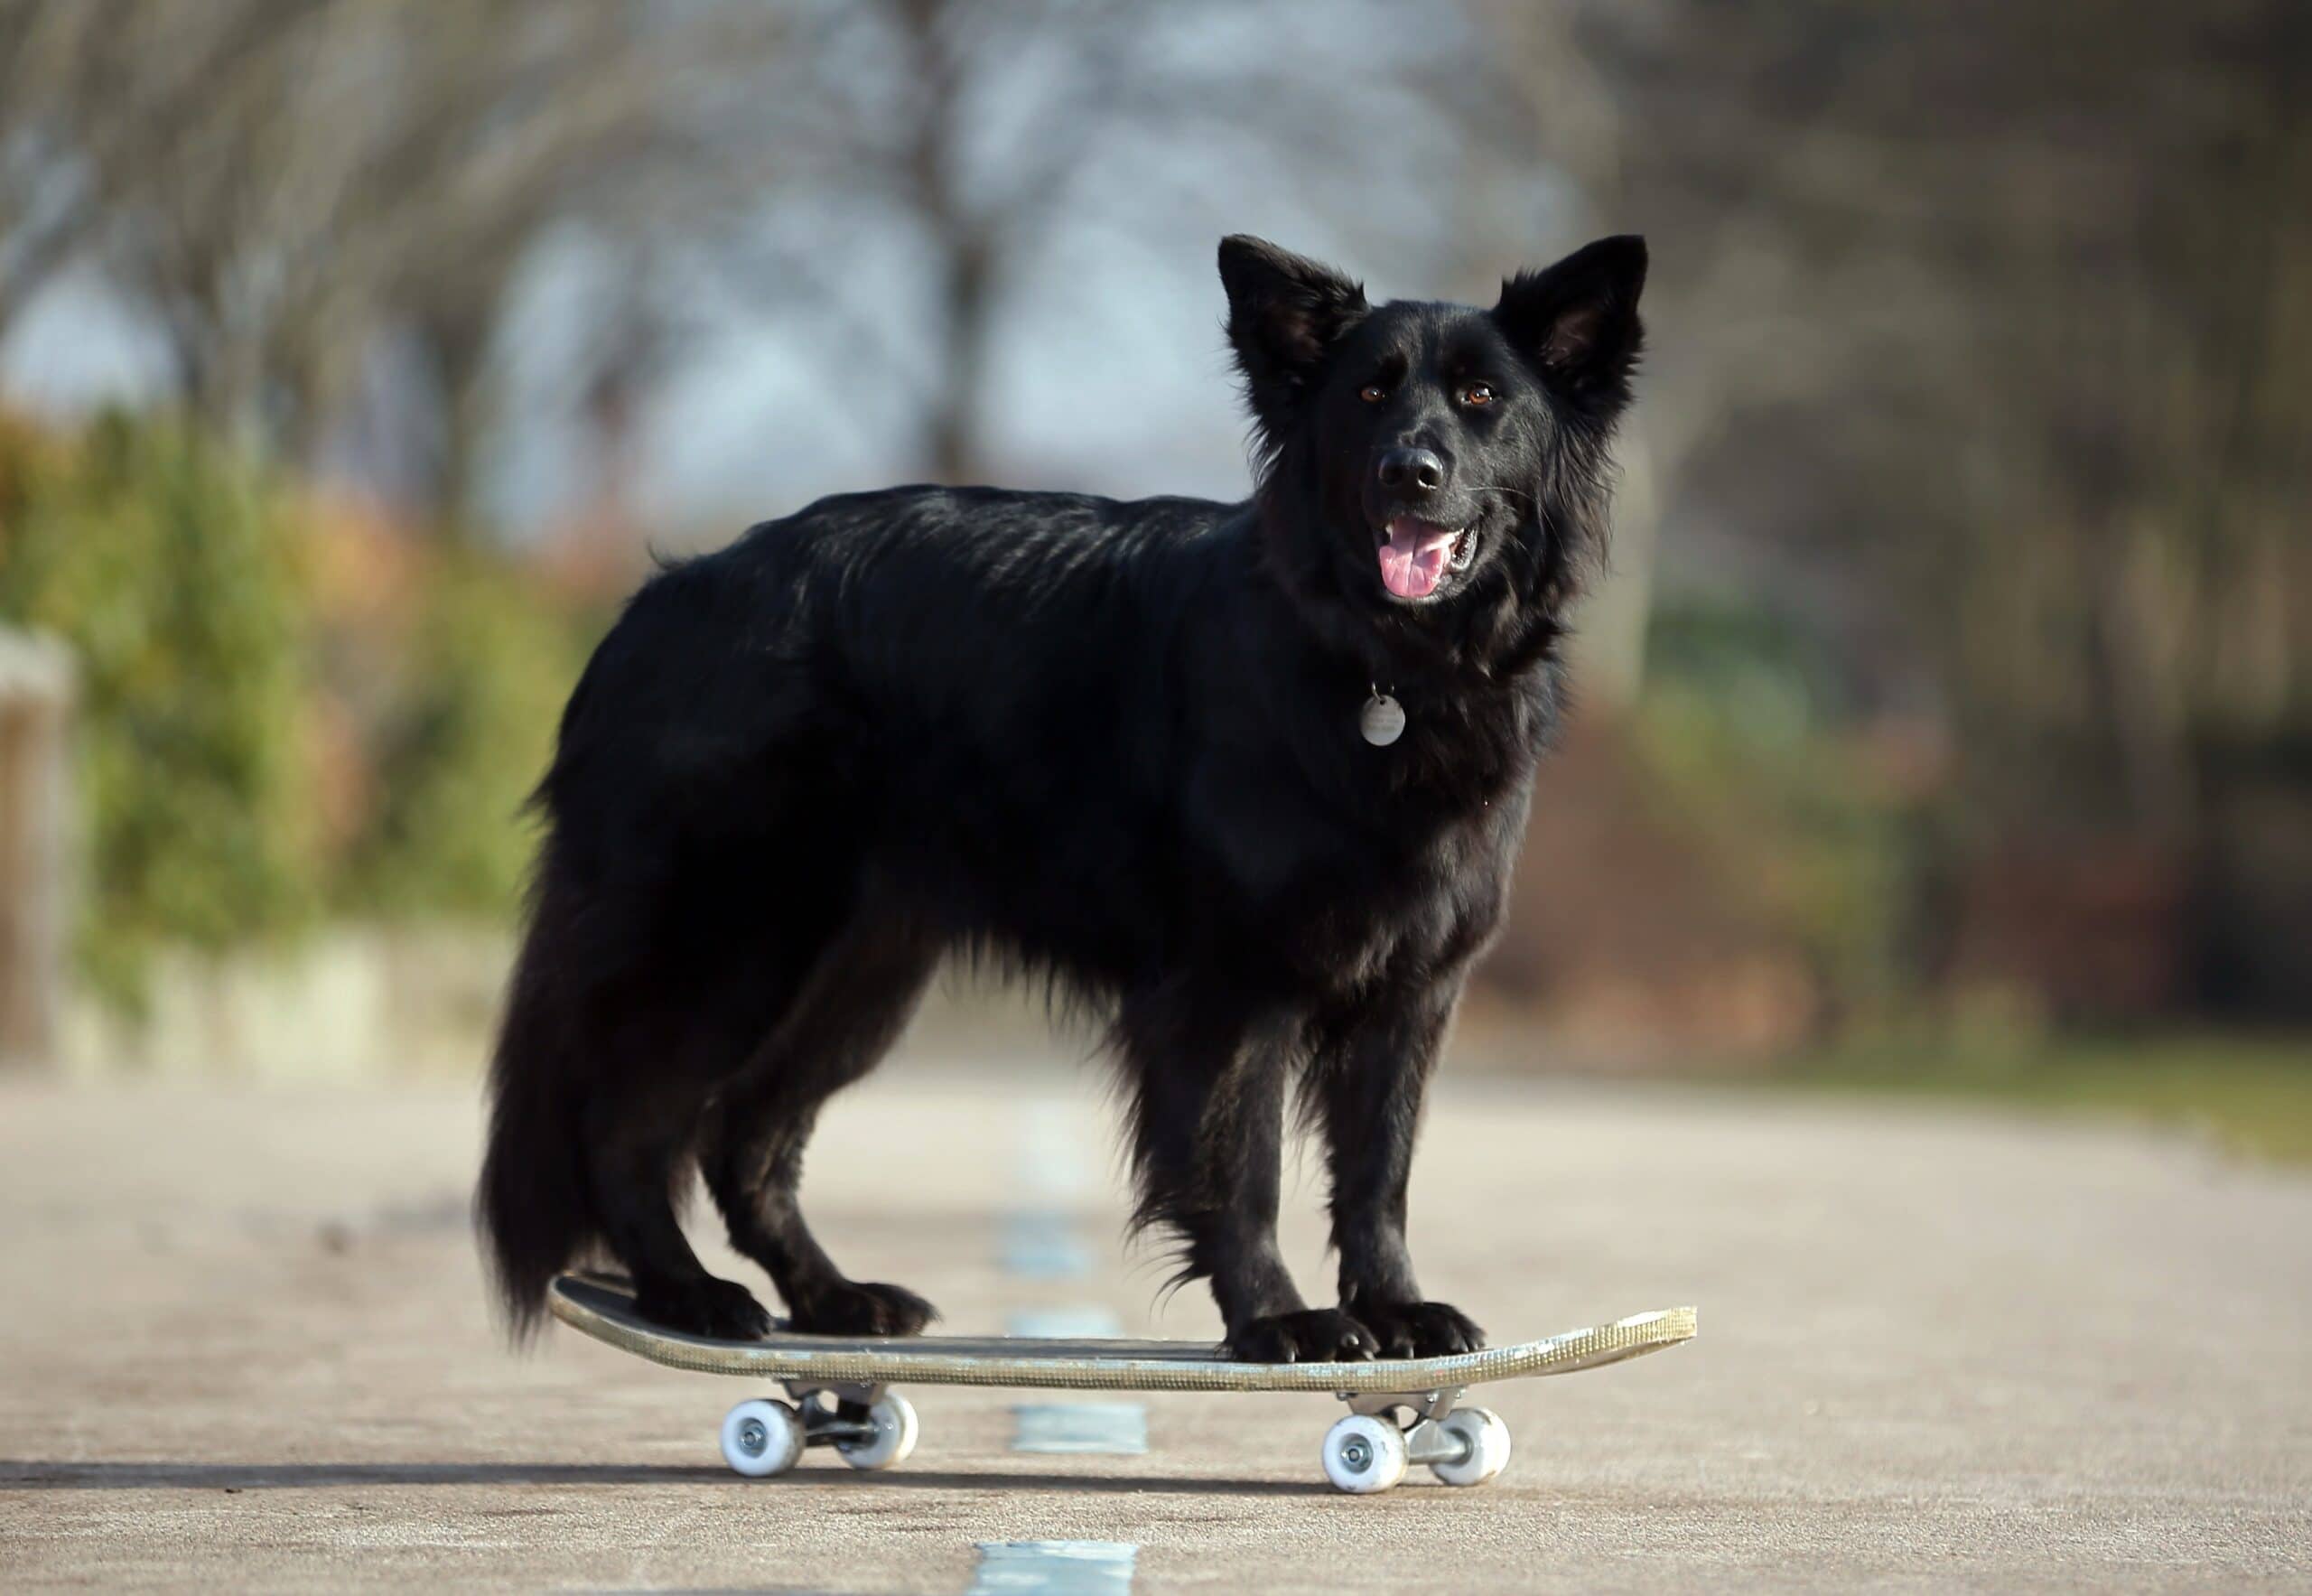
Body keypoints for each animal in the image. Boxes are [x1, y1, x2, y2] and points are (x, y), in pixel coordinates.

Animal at [483, 233, 1645, 1350]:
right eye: (1368, 395)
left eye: (1481, 397)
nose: (1411, 471)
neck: (1380, 669)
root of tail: (655, 603)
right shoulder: (1231, 986)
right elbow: (1242, 1168)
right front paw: (1279, 1321)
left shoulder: (1411, 993)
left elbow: (1377, 1174)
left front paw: (1397, 1310)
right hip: (732, 951)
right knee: (624, 1127)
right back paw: (688, 1295)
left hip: (857, 980)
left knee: (746, 1143)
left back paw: (832, 1299)